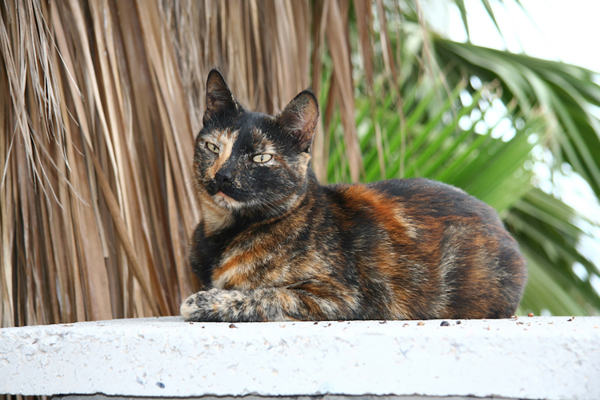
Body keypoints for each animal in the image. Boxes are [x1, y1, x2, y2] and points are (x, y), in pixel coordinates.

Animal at [180, 69, 528, 322]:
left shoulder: (341, 297)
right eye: (213, 147)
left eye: (261, 157)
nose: (222, 176)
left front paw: (203, 302)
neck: (223, 234)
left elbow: (265, 294)